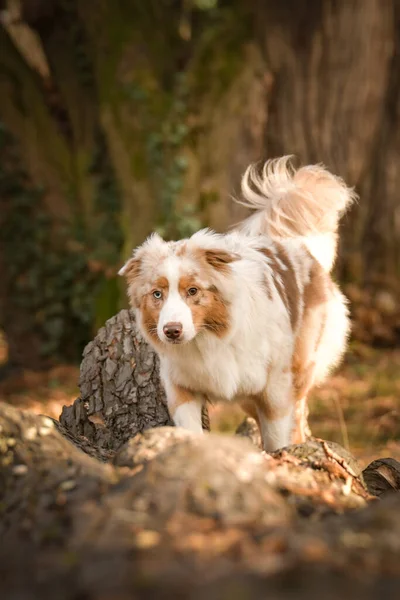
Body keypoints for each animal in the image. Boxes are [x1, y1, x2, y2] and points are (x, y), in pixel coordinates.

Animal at [119, 157, 356, 452]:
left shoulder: (275, 389)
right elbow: (190, 429)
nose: (172, 331)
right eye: (157, 294)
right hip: (248, 398)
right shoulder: (181, 386)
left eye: (193, 290)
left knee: (300, 413)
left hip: (300, 366)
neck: (209, 338)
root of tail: (294, 244)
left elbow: (277, 437)